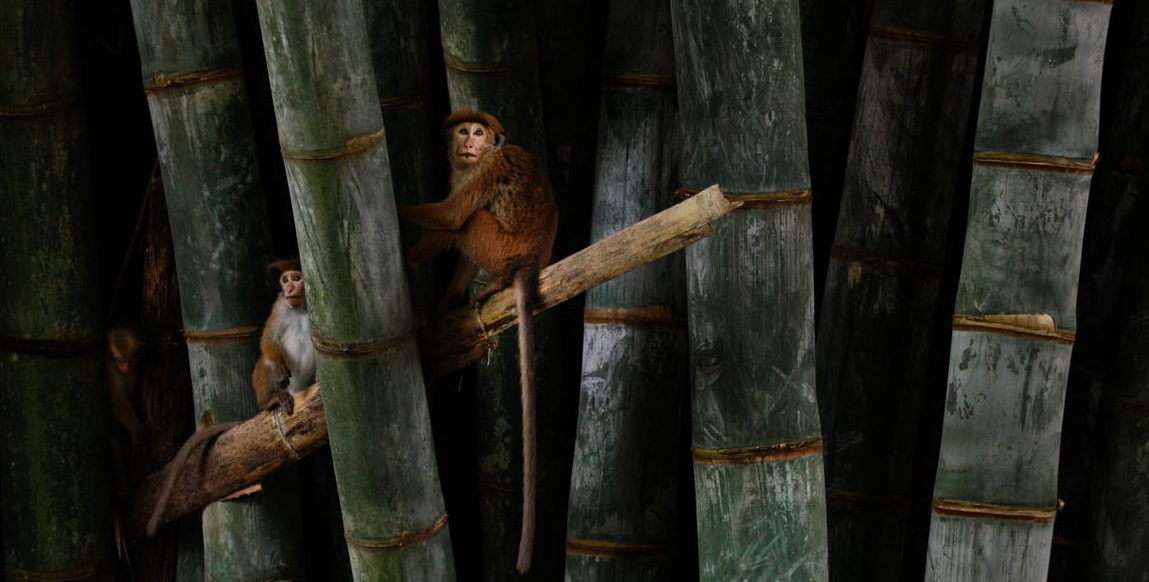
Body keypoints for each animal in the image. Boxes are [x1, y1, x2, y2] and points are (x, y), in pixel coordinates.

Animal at [252, 257, 317, 417]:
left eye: (296, 278)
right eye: (285, 280)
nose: (289, 289)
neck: (301, 308)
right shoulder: (280, 305)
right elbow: (269, 338)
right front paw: (279, 367)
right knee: (266, 359)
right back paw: (270, 400)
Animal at [395, 108, 556, 573]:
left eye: (479, 133)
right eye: (464, 131)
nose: (469, 141)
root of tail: (530, 261)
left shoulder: (486, 169)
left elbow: (451, 217)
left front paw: (398, 207)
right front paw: (440, 307)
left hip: (499, 246)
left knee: (470, 222)